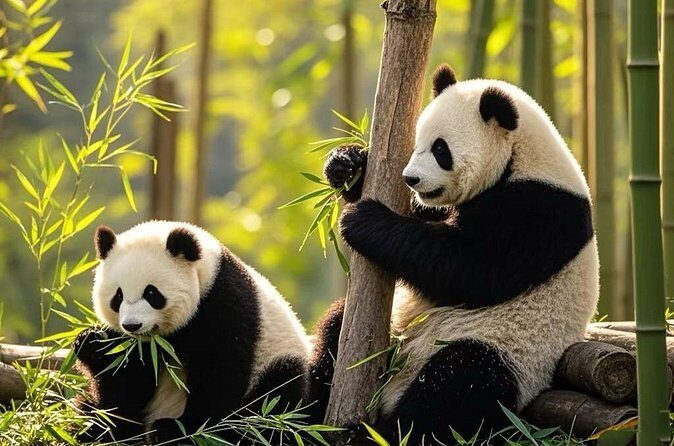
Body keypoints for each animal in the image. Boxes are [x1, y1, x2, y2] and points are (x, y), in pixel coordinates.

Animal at [74, 220, 310, 444]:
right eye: (118, 296)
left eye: (151, 293)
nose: (132, 325)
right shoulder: (142, 349)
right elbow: (126, 385)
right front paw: (91, 343)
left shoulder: (224, 306)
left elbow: (219, 374)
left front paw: (177, 428)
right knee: (88, 409)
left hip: (275, 365)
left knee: (274, 401)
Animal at [309, 64, 599, 444]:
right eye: (417, 143)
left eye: (440, 149)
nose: (411, 179)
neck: (522, 157)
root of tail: (392, 392)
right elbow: (427, 218)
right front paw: (348, 165)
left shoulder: (542, 210)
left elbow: (468, 269)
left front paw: (364, 220)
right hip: (397, 327)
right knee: (336, 328)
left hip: (511, 353)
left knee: (458, 385)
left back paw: (377, 433)